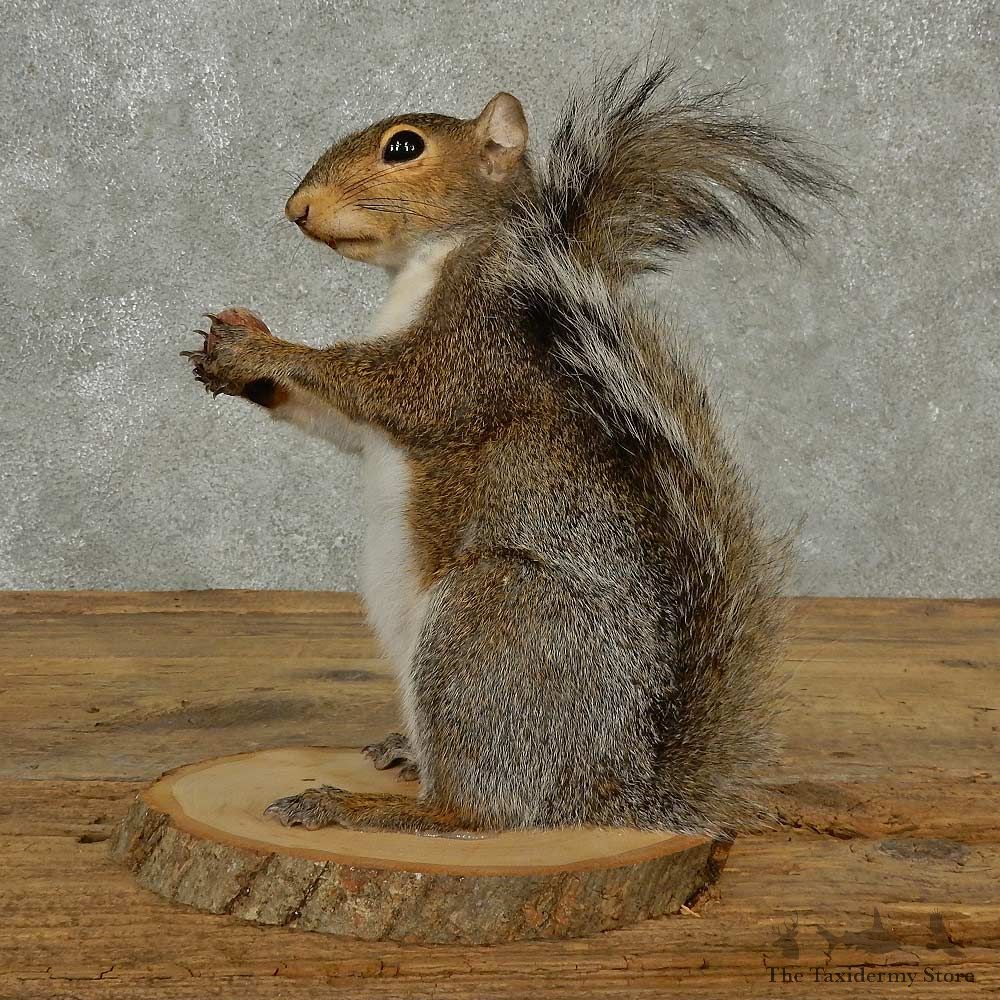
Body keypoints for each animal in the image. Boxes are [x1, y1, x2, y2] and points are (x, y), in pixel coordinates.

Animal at [184, 55, 845, 838]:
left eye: (403, 148)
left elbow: (396, 391)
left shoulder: (477, 347)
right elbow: (341, 423)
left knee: (480, 812)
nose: (297, 208)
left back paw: (354, 807)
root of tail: (617, 790)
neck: (430, 263)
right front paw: (235, 357)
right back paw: (401, 754)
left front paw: (263, 347)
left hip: (488, 628)